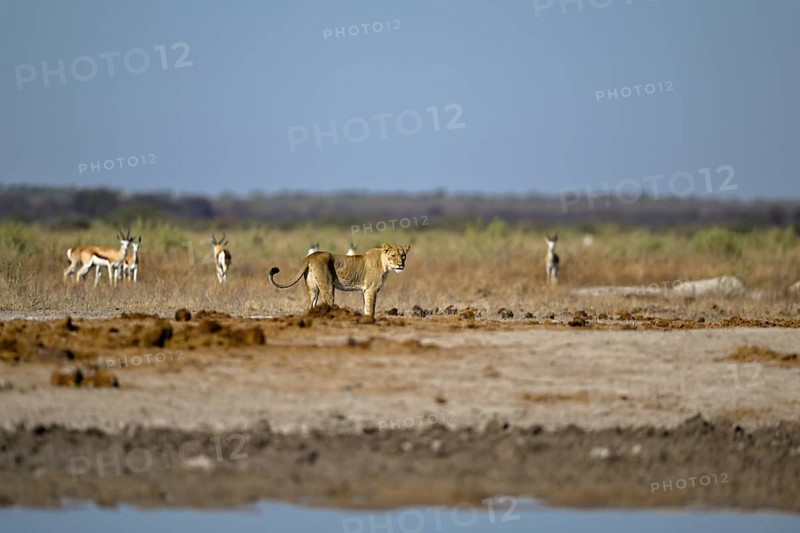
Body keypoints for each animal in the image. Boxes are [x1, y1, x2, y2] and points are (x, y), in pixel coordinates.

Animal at [269, 243, 410, 320]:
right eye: (393, 255)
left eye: (403, 255)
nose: (401, 264)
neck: (385, 264)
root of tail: (311, 255)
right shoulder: (371, 290)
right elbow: (371, 309)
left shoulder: (364, 291)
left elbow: (365, 308)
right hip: (328, 286)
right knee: (328, 303)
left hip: (313, 288)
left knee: (310, 306)